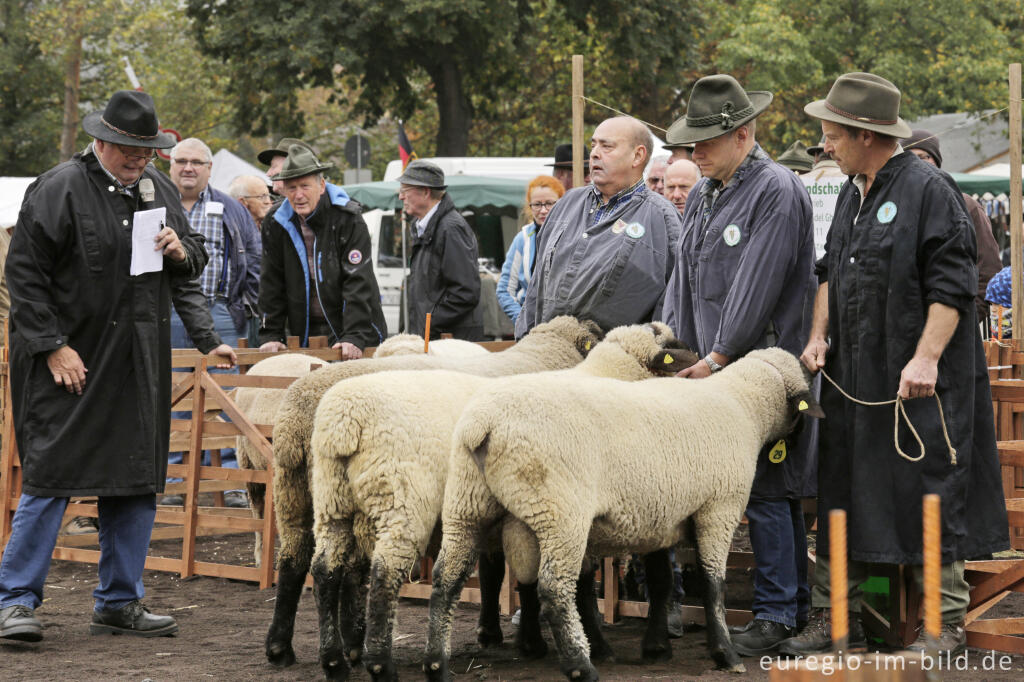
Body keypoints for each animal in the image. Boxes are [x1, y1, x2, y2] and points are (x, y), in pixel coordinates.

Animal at [264, 315, 602, 667]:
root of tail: (296, 418)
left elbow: (492, 572)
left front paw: (489, 632)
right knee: (352, 571)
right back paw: (354, 645)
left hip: (295, 492)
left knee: (297, 561)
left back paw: (282, 647)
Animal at [309, 323, 696, 679]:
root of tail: (344, 421)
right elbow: (609, 580)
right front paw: (616, 646)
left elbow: (510, 575)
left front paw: (517, 638)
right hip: (401, 502)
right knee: (383, 570)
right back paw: (378, 662)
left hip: (336, 502)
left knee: (330, 570)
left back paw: (340, 657)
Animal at [423, 348, 823, 675]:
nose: (802, 439)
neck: (742, 405)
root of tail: (484, 424)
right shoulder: (718, 509)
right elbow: (714, 586)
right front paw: (725, 653)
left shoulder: (662, 517)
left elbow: (662, 582)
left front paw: (657, 647)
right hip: (560, 513)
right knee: (554, 587)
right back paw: (581, 666)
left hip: (469, 503)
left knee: (446, 580)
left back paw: (438, 664)